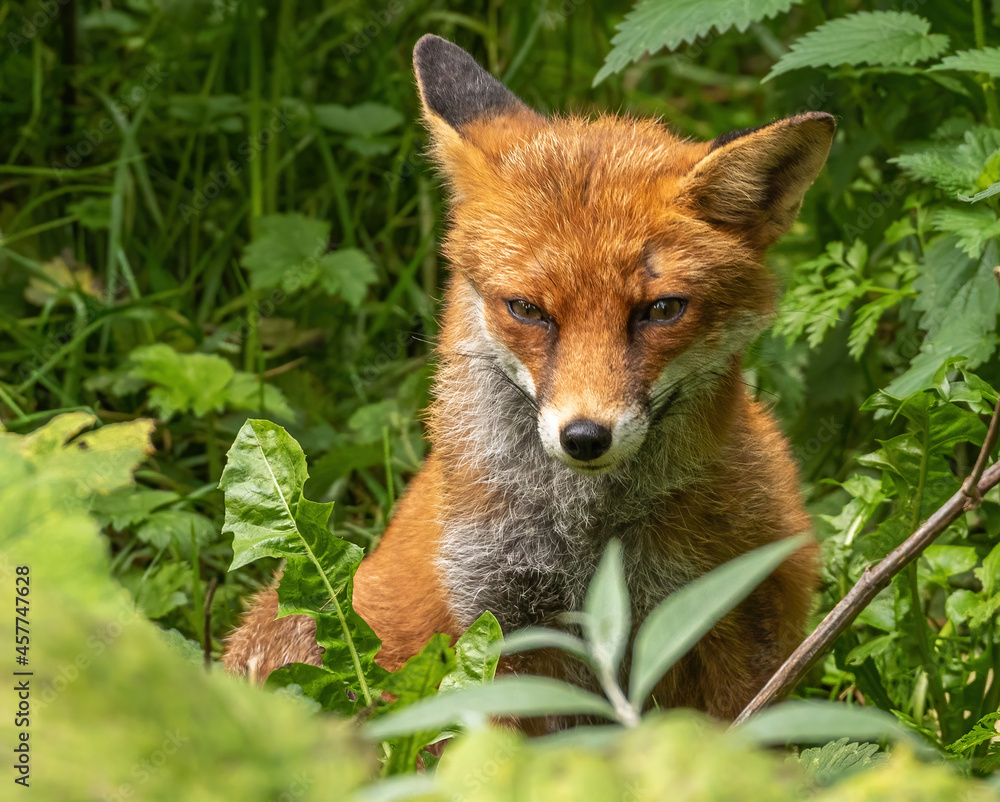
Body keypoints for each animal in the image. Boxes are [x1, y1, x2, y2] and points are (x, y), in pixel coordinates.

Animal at [223, 34, 835, 721]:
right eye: (527, 310)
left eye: (661, 310)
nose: (586, 437)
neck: (588, 540)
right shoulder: (499, 624)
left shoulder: (737, 612)